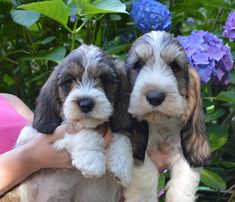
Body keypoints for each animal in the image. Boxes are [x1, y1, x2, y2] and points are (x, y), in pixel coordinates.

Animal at [1, 45, 133, 202]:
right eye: (69, 80)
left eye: (105, 79)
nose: (86, 104)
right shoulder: (33, 138)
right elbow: (84, 133)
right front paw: (92, 160)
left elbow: (120, 135)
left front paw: (122, 164)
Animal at [124, 30, 210, 202]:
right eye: (138, 65)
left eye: (175, 66)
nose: (155, 97)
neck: (160, 123)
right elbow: (146, 173)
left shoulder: (182, 151)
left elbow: (183, 183)